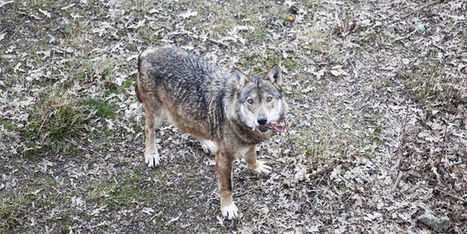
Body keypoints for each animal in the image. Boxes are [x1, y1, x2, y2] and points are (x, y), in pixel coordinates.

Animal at [135, 46, 288, 219]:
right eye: (250, 101)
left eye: (269, 99)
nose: (261, 120)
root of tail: (146, 52)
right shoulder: (224, 159)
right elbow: (227, 186)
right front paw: (227, 208)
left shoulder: (249, 143)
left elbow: (251, 156)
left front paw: (256, 167)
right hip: (158, 116)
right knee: (148, 130)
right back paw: (151, 154)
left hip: (185, 112)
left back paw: (207, 144)